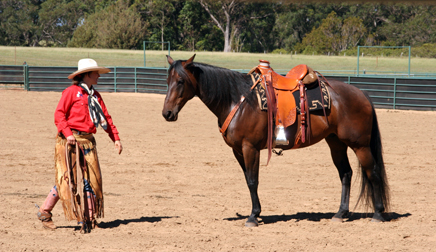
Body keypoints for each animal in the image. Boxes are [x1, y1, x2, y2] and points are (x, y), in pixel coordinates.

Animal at [162, 54, 390, 226]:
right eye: (167, 81)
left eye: (180, 81)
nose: (167, 113)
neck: (238, 100)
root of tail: (362, 94)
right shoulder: (237, 151)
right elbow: (248, 180)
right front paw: (256, 212)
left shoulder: (250, 148)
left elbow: (253, 181)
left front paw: (253, 216)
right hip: (336, 143)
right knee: (346, 174)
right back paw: (340, 213)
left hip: (360, 145)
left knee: (372, 172)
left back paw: (378, 214)